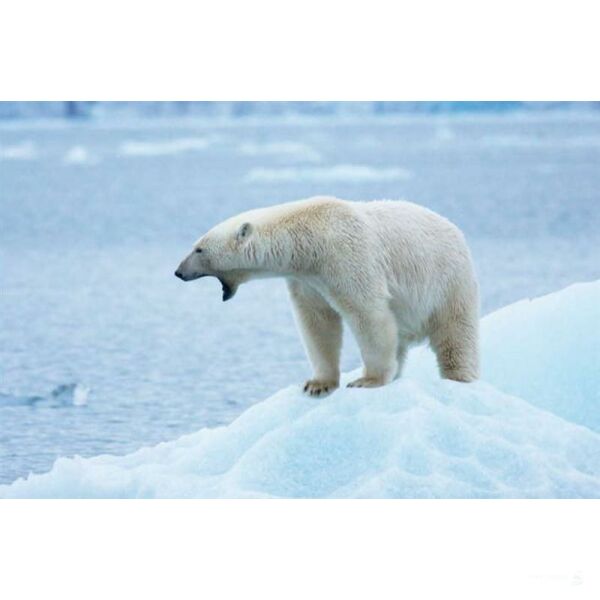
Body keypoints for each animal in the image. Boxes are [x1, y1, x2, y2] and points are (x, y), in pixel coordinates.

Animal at [173, 197, 478, 394]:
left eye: (198, 249)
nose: (178, 272)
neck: (308, 238)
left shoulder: (346, 256)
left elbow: (368, 313)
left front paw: (367, 380)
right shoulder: (307, 279)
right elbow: (317, 323)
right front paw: (317, 384)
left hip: (447, 281)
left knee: (455, 335)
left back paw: (459, 378)